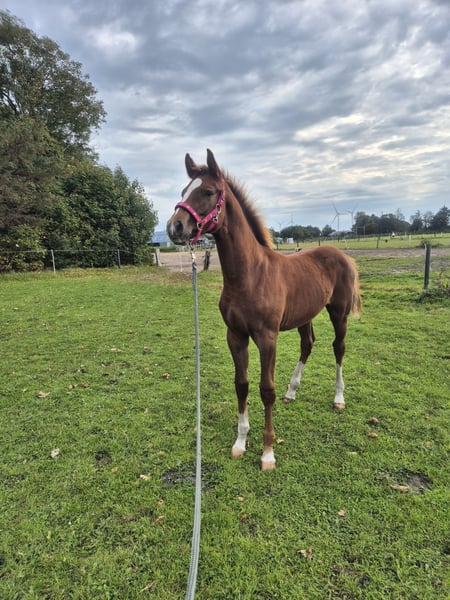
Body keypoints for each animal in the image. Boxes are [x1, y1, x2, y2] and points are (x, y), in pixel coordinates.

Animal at [167, 149, 361, 470]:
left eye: (208, 192)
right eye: (183, 191)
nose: (175, 227)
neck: (250, 275)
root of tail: (341, 254)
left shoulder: (268, 338)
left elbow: (266, 389)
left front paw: (268, 452)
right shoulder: (235, 335)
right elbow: (242, 384)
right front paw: (240, 442)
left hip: (338, 313)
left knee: (339, 347)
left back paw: (338, 397)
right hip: (305, 315)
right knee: (308, 344)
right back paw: (292, 391)